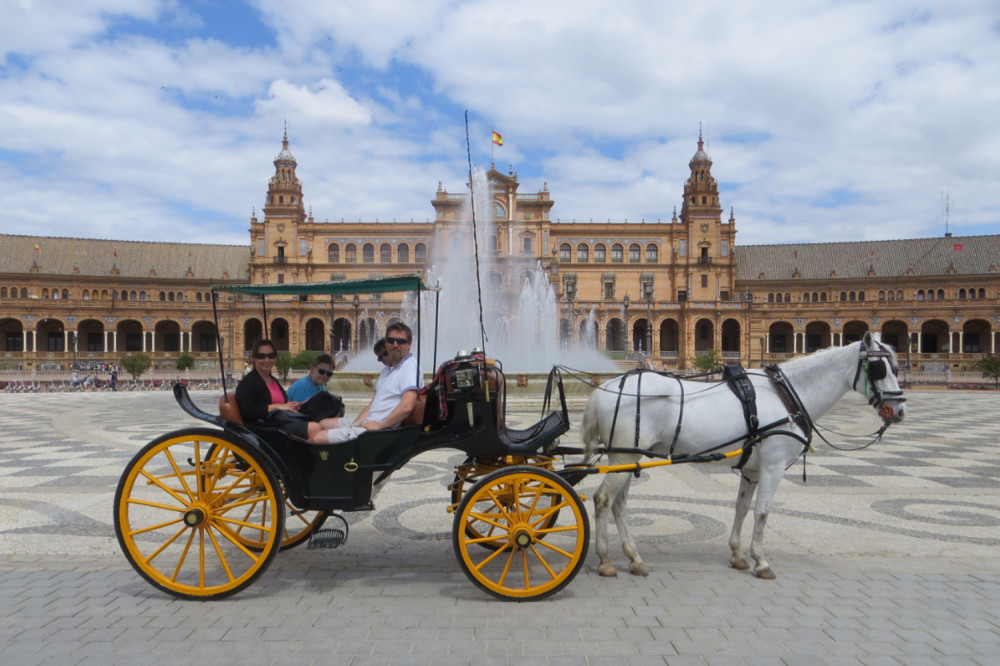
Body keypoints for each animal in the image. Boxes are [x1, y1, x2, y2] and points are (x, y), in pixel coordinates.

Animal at [580, 330, 908, 580]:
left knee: (619, 504)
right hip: (623, 459)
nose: (900, 411)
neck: (785, 394)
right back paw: (606, 560)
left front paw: (738, 554)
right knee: (603, 500)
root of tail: (605, 387)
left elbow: (741, 508)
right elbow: (762, 512)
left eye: (897, 368)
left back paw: (634, 558)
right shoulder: (773, 467)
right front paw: (761, 561)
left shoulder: (751, 470)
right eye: (881, 368)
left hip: (627, 458)